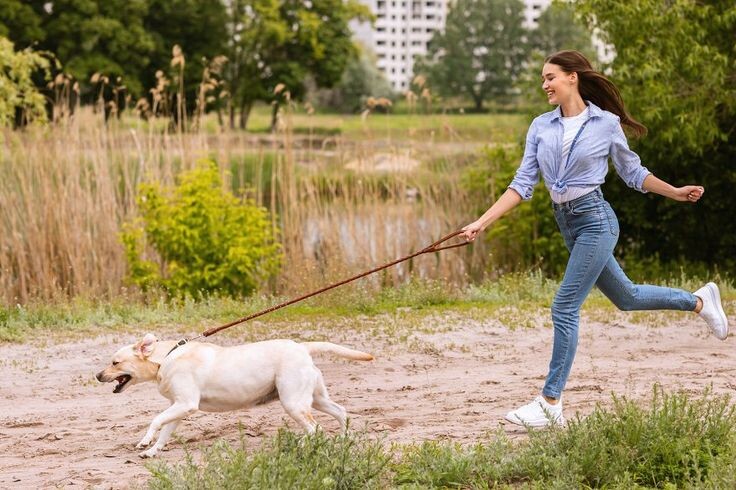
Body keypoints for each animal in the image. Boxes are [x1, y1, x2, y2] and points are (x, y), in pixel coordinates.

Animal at [96, 334, 374, 458]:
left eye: (115, 362)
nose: (97, 375)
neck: (164, 359)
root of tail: (302, 347)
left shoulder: (185, 404)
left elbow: (155, 421)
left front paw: (144, 442)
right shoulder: (179, 408)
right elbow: (165, 431)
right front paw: (153, 451)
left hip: (293, 402)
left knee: (315, 429)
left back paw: (303, 445)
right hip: (314, 399)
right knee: (340, 412)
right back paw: (343, 439)